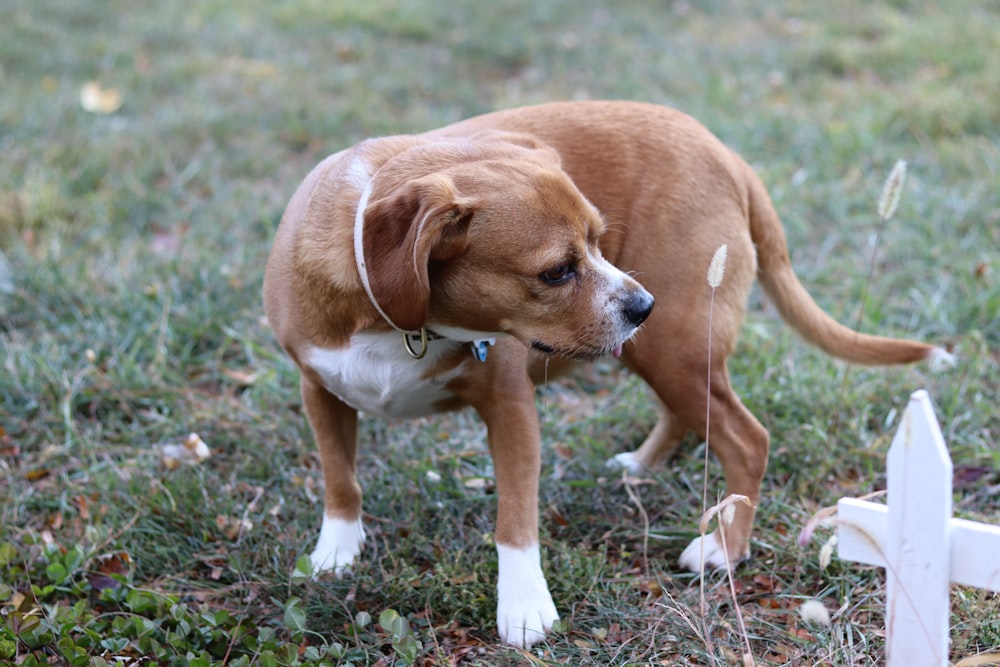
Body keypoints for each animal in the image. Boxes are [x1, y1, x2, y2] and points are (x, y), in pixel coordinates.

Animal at [262, 99, 948, 648]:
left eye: (598, 239)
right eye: (556, 271)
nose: (644, 305)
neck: (395, 314)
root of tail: (725, 153)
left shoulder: (511, 408)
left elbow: (515, 522)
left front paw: (524, 607)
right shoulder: (318, 389)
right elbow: (340, 479)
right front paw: (336, 553)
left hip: (670, 346)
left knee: (744, 438)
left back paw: (723, 549)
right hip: (659, 351)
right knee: (689, 415)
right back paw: (642, 465)